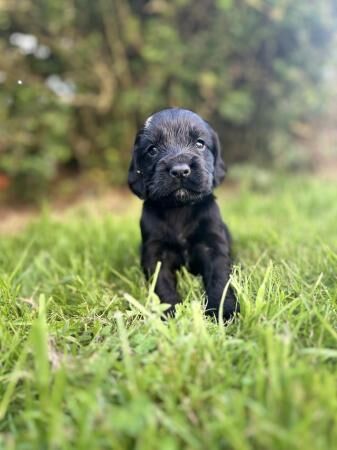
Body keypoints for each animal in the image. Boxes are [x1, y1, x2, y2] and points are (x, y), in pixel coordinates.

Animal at [127, 108, 238, 320]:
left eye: (200, 143)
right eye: (152, 150)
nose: (180, 170)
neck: (179, 208)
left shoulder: (213, 245)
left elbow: (220, 279)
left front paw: (223, 312)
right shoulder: (156, 252)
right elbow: (162, 284)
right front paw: (169, 311)